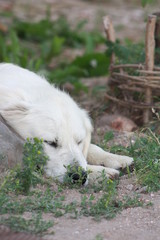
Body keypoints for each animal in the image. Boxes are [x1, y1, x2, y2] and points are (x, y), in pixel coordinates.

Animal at [0, 63, 133, 184]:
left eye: (79, 141)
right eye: (50, 142)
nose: (78, 176)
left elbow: (91, 148)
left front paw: (115, 158)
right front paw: (100, 172)